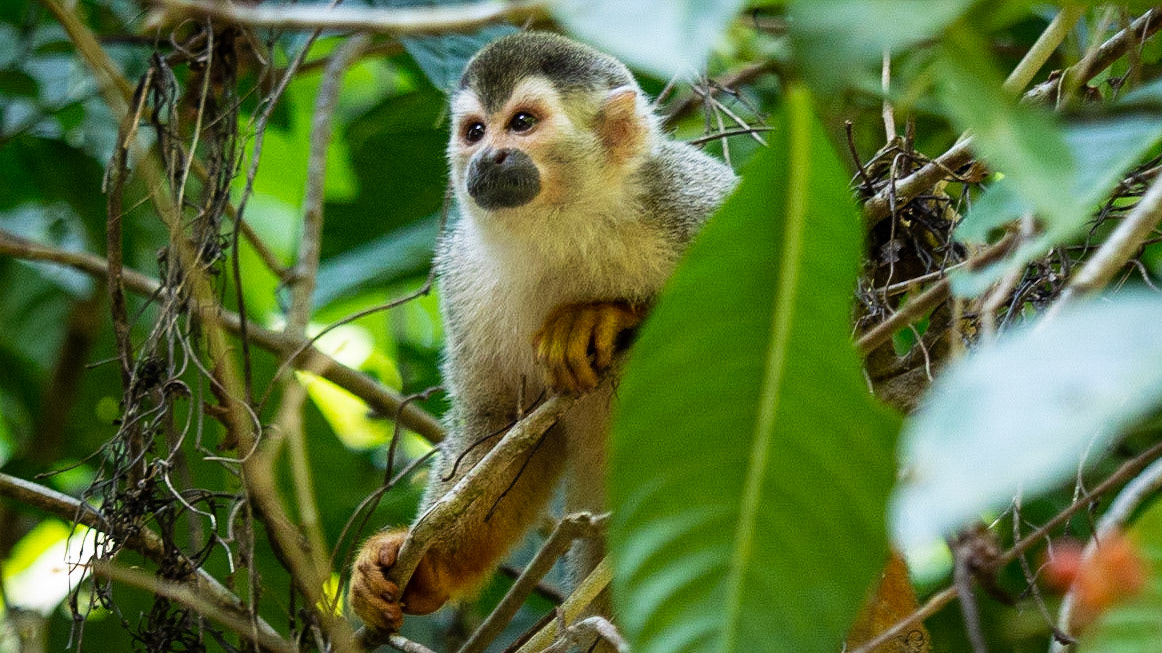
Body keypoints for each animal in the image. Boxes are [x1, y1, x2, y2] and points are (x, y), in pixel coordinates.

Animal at [349, 31, 737, 633]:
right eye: (475, 130)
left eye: (523, 122)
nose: (487, 157)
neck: (567, 226)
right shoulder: (464, 279)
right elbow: (501, 430)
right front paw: (426, 568)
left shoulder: (690, 200)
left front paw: (601, 317)